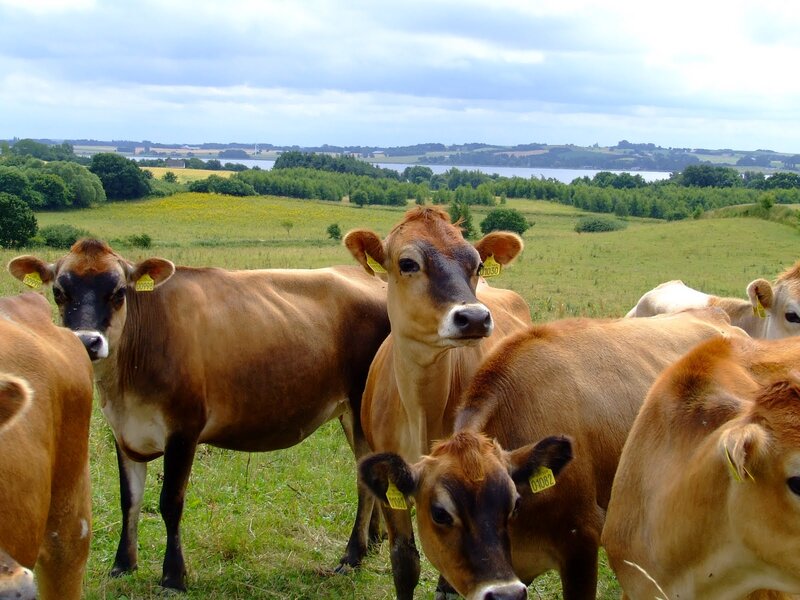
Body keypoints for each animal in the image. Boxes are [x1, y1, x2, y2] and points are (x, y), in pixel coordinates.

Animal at [7, 240, 391, 591]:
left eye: (118, 292)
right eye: (59, 291)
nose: (87, 342)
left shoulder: (183, 428)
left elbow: (170, 502)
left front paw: (173, 576)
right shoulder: (123, 432)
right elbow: (129, 500)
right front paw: (122, 565)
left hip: (361, 404)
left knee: (364, 479)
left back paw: (352, 555)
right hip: (350, 413)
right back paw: (374, 540)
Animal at [344, 206, 533, 599]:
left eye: (477, 264)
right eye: (408, 263)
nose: (474, 317)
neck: (421, 409)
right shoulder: (390, 480)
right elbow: (404, 562)